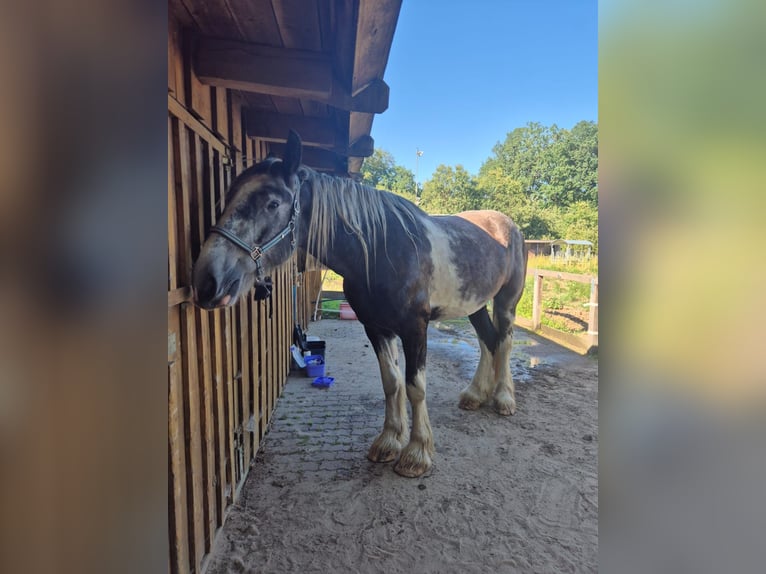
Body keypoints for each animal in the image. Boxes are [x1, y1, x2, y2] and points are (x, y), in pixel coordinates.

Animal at [192, 131, 528, 478]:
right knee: (488, 340)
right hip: (475, 305)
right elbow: (391, 382)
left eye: (272, 203)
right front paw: (389, 441)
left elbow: (415, 386)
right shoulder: (376, 327)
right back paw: (475, 395)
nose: (207, 281)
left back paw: (504, 399)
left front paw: (416, 454)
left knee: (504, 342)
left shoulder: (415, 329)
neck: (382, 249)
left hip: (506, 302)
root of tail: (509, 227)